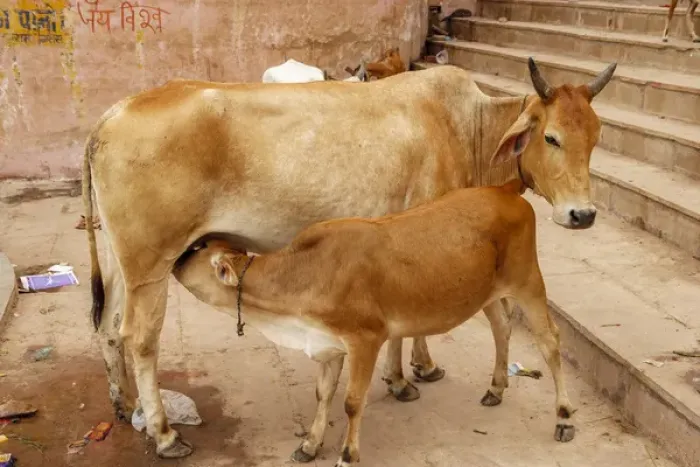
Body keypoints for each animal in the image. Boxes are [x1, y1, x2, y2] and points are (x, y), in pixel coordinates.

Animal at [170, 178, 574, 466]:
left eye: (196, 249)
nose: (173, 259)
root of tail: (503, 189)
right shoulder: (328, 343)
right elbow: (322, 394)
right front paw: (310, 444)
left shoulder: (366, 338)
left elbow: (351, 401)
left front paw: (347, 455)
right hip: (487, 293)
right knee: (502, 327)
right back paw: (496, 388)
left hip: (528, 282)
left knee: (551, 342)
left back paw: (564, 419)